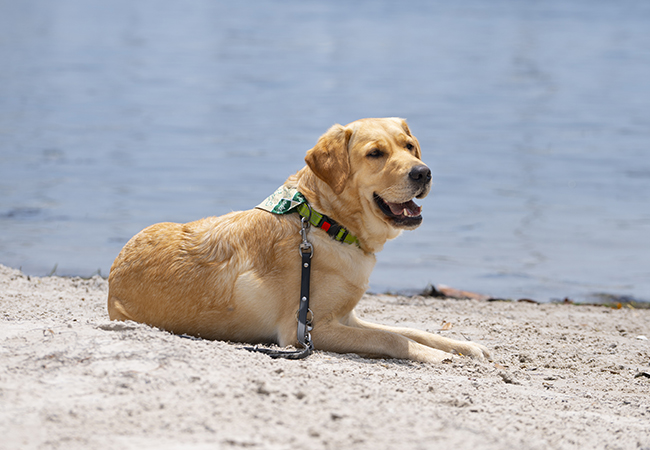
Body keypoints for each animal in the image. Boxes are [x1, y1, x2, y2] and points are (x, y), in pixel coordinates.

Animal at [109, 118, 488, 364]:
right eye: (375, 154)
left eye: (409, 147)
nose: (423, 172)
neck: (325, 222)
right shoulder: (303, 330)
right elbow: (390, 337)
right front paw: (437, 356)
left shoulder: (347, 317)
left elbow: (409, 329)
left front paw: (461, 345)